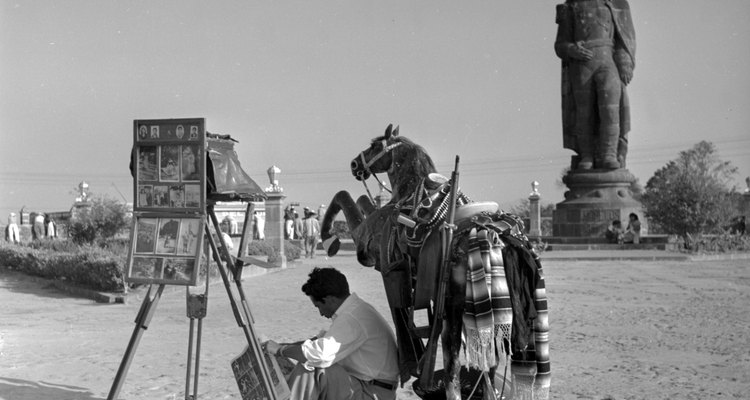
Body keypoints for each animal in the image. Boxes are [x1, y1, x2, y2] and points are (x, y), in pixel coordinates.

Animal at [320, 125, 548, 400]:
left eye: (375, 145)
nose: (355, 164)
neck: (410, 195)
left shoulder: (367, 243)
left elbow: (345, 198)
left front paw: (328, 238)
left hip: (453, 309)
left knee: (453, 368)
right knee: (488, 367)